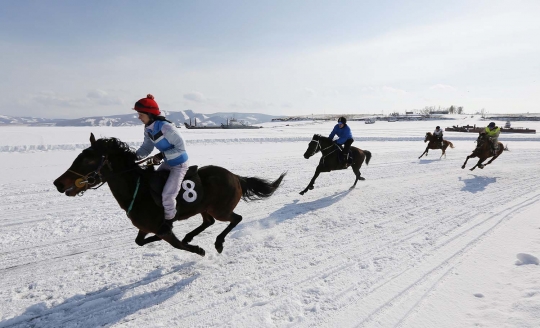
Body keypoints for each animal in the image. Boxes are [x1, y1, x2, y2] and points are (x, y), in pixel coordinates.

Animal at [52, 133, 284, 256]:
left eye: (88, 159)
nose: (58, 183)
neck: (137, 189)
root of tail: (235, 176)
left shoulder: (163, 230)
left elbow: (177, 244)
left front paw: (198, 249)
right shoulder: (145, 227)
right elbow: (140, 241)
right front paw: (186, 241)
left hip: (221, 210)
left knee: (236, 218)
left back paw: (217, 243)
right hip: (204, 207)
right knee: (208, 221)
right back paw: (191, 235)